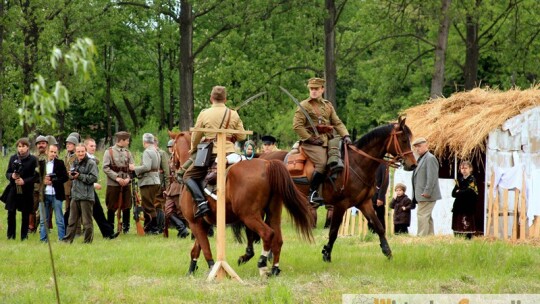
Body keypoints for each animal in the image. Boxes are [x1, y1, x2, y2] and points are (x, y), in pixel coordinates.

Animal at [171, 132, 314, 276]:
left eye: (172, 149)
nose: (173, 168)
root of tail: (268, 164)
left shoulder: (195, 223)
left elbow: (205, 249)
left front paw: (212, 270)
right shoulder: (202, 224)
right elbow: (196, 249)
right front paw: (191, 270)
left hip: (249, 216)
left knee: (268, 234)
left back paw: (262, 264)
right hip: (272, 213)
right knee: (278, 239)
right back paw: (274, 269)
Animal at [260, 117, 416, 262]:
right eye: (403, 140)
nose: (413, 165)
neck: (357, 163)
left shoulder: (364, 203)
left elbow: (379, 227)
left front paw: (387, 252)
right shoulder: (341, 205)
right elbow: (333, 231)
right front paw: (326, 254)